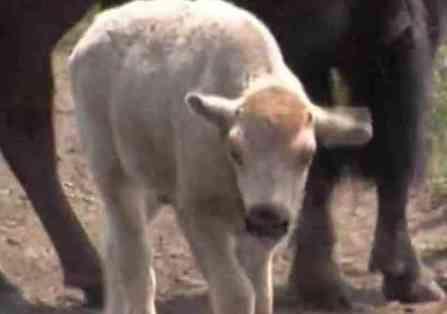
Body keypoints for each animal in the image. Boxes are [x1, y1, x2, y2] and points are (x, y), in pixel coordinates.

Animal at [68, 1, 372, 312]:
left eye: (308, 155)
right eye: (235, 151)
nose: (266, 216)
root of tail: (98, 26)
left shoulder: (260, 235)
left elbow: (262, 292)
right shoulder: (197, 214)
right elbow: (236, 291)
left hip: (151, 186)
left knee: (113, 246)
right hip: (113, 174)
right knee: (135, 258)